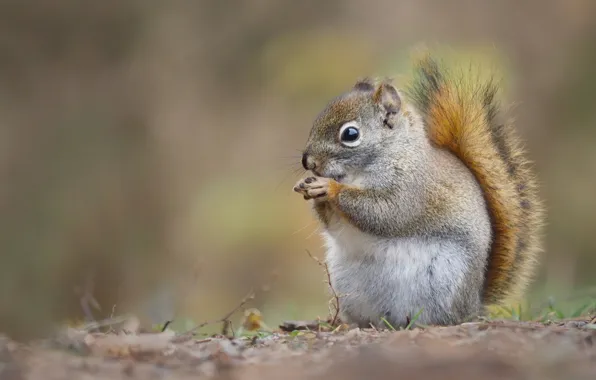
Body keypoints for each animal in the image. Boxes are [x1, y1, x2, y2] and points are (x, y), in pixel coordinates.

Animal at [294, 52, 544, 326]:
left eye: (350, 134)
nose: (308, 162)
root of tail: (474, 305)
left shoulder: (412, 189)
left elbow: (383, 212)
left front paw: (329, 187)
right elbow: (334, 224)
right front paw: (309, 189)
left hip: (442, 281)